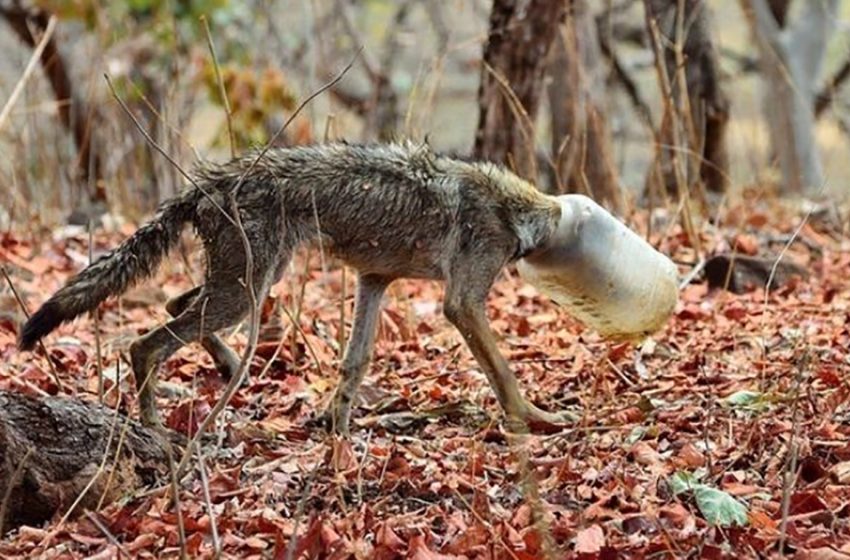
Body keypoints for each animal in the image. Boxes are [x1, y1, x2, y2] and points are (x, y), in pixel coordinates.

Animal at [21, 141, 576, 434]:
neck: (515, 209)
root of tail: (205, 184)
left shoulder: (374, 280)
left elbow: (355, 362)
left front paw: (338, 427)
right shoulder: (462, 304)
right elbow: (504, 373)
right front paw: (538, 418)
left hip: (253, 285)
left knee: (175, 304)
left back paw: (229, 367)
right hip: (244, 292)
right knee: (145, 343)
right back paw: (155, 427)